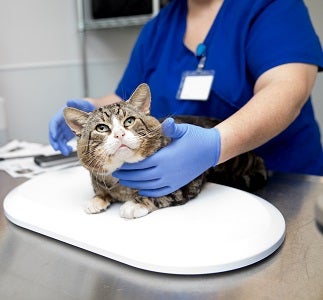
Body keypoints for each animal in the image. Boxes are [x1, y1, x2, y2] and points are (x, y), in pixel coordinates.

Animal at [64, 83, 268, 219]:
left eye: (129, 121)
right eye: (101, 128)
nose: (119, 134)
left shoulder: (185, 184)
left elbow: (161, 195)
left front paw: (135, 204)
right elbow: (101, 191)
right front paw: (96, 199)